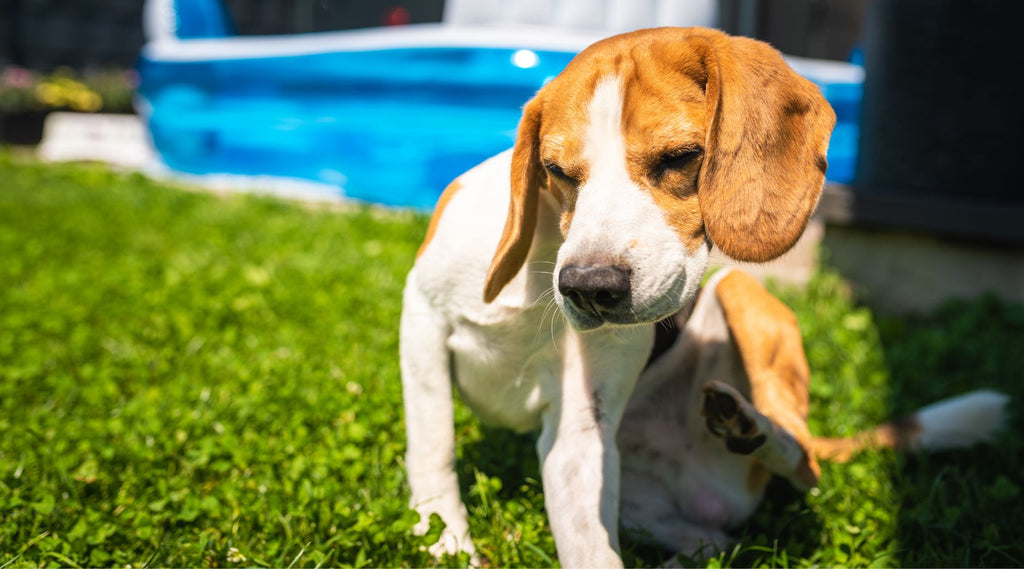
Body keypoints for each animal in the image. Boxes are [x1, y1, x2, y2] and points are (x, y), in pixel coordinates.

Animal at [399, 27, 1007, 569]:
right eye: (556, 171)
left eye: (680, 157)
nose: (590, 288)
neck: (543, 260)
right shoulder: (422, 321)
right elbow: (434, 448)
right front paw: (444, 544)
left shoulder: (580, 423)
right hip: (644, 505)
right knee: (712, 539)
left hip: (740, 290)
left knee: (803, 460)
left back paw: (749, 426)